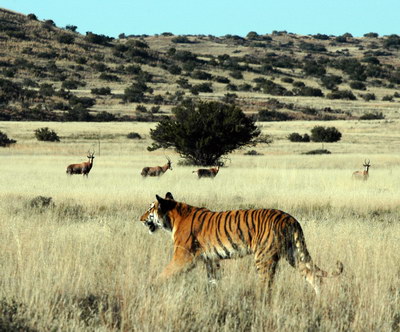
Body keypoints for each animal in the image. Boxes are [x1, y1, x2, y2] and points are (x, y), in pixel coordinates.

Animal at [139, 193, 342, 294]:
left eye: (150, 209)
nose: (140, 219)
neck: (172, 219)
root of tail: (290, 218)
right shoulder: (210, 260)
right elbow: (213, 280)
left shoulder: (183, 257)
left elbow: (165, 273)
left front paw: (150, 286)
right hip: (293, 255)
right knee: (313, 276)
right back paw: (320, 301)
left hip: (264, 258)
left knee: (266, 285)